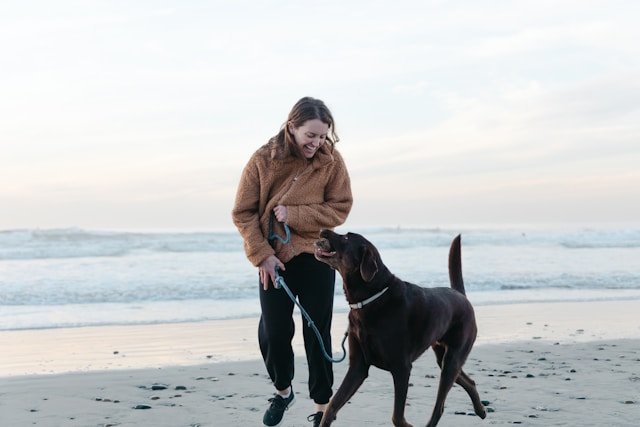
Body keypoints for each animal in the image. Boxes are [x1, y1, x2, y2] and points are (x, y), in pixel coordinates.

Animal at [314, 232, 484, 426]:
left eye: (346, 238)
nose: (323, 231)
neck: (370, 298)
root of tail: (461, 295)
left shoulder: (401, 368)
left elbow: (397, 415)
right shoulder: (358, 367)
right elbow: (332, 405)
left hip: (453, 358)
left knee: (440, 406)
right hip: (443, 356)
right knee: (467, 381)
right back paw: (481, 410)